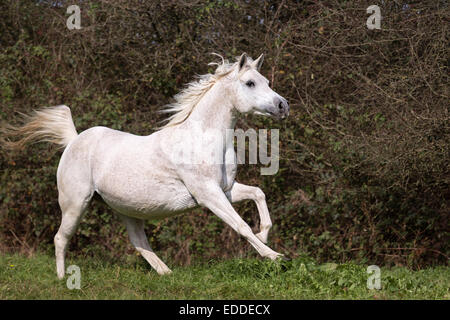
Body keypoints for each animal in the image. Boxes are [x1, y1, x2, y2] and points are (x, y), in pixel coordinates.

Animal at [0, 53, 288, 278]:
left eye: (267, 82)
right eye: (250, 83)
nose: (282, 105)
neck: (203, 137)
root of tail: (73, 140)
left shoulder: (226, 189)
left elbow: (258, 194)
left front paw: (264, 235)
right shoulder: (208, 194)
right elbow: (241, 225)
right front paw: (275, 256)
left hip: (127, 209)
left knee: (138, 242)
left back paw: (168, 273)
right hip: (75, 203)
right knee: (61, 238)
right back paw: (62, 279)